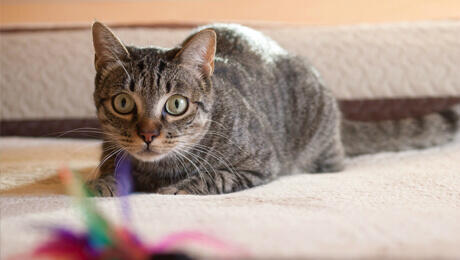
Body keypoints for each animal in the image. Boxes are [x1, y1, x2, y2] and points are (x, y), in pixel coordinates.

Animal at [88, 21, 458, 195]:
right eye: (123, 103)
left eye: (176, 104)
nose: (148, 134)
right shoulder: (110, 151)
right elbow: (113, 169)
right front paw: (103, 183)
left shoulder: (261, 164)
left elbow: (214, 176)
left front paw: (182, 185)